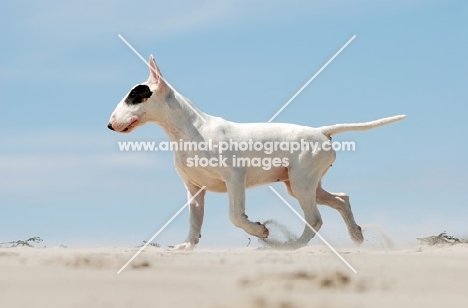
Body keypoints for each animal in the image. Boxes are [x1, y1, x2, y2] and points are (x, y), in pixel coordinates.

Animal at [108, 54, 404, 249]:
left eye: (134, 96)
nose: (110, 125)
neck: (188, 130)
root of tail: (321, 131)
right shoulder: (194, 189)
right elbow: (194, 221)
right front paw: (186, 246)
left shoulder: (235, 178)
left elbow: (235, 215)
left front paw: (260, 231)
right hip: (299, 185)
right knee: (342, 199)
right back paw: (356, 235)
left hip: (302, 182)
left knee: (315, 219)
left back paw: (289, 246)